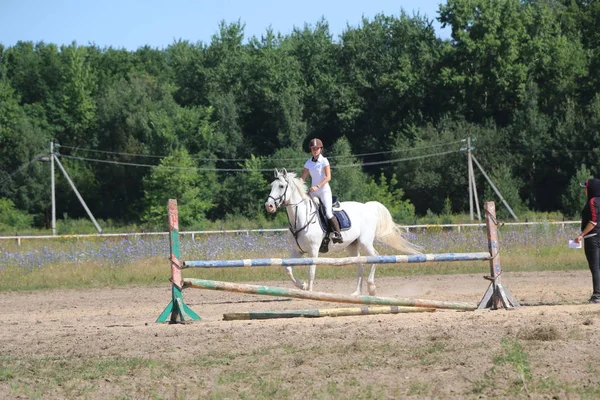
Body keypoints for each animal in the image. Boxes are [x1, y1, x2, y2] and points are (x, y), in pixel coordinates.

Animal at [264, 167, 420, 296]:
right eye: (271, 186)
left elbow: (311, 271)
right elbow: (287, 268)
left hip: (365, 242)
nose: (269, 206)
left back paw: (371, 288)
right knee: (360, 265)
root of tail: (367, 207)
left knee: (375, 257)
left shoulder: (313, 251)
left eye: (281, 186)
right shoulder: (297, 250)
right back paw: (356, 293)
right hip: (352, 246)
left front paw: (310, 291)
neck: (301, 218)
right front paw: (302, 285)